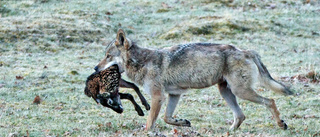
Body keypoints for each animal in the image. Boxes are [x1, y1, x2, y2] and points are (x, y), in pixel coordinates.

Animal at [94, 29, 292, 131]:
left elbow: (150, 123)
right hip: (226, 92)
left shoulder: (158, 97)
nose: (95, 68)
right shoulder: (173, 95)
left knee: (270, 101)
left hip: (240, 92)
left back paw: (281, 124)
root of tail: (246, 51)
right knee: (241, 115)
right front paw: (183, 123)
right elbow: (167, 118)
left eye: (108, 56)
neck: (142, 62)